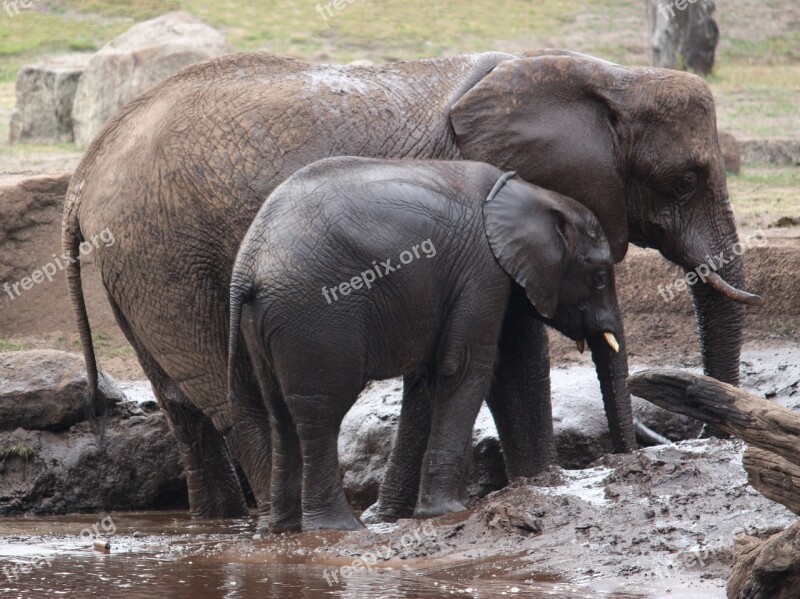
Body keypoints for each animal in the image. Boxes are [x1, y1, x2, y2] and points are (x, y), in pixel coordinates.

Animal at [228, 157, 620, 532]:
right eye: (600, 278)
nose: (617, 460)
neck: (533, 194)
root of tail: (247, 267)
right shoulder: (481, 274)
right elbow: (466, 367)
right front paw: (447, 511)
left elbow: (449, 373)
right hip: (316, 318)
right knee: (321, 416)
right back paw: (339, 527)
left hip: (265, 324)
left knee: (280, 413)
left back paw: (284, 528)